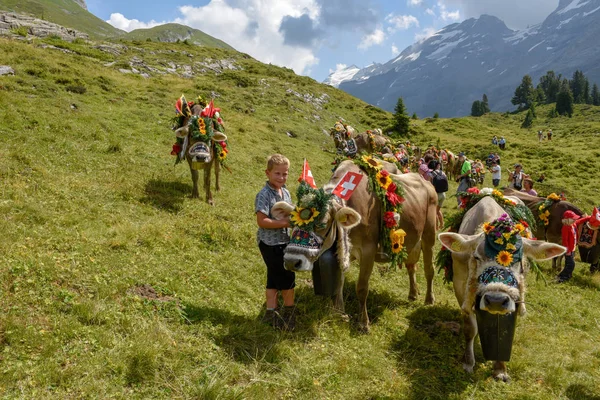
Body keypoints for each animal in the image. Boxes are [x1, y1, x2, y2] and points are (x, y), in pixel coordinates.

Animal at [272, 158, 436, 332]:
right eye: (291, 222)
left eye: (322, 224)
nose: (291, 261)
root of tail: (424, 180)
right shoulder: (341, 250)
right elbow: (339, 283)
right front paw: (338, 313)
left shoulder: (368, 250)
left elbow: (362, 288)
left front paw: (363, 323)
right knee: (411, 266)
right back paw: (413, 293)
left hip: (429, 235)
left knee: (429, 269)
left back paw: (429, 299)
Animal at [438, 196, 564, 382]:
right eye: (477, 257)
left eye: (518, 259)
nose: (495, 300)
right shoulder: (460, 286)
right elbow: (470, 328)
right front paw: (468, 362)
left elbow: (504, 332)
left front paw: (500, 369)